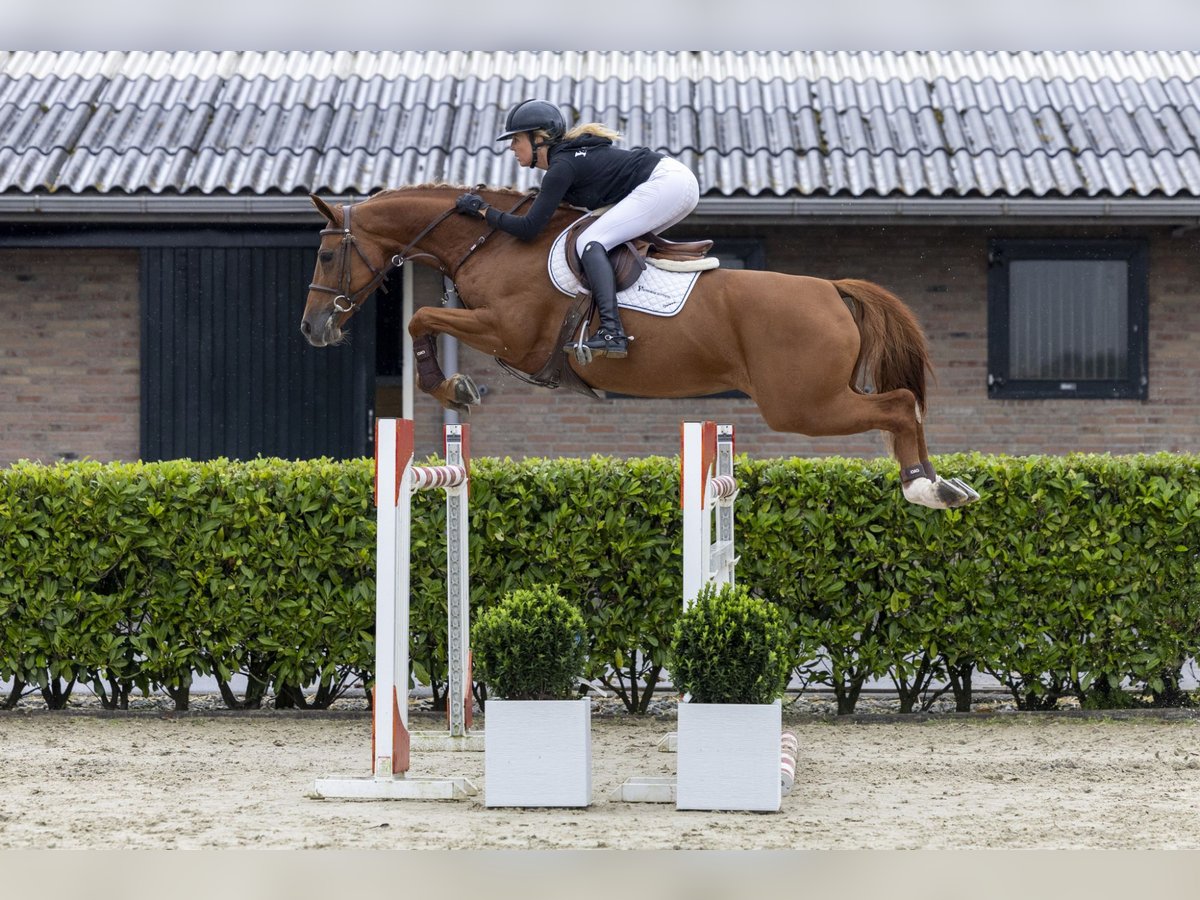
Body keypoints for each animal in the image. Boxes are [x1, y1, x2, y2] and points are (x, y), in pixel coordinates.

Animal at [297, 187, 974, 511]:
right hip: (815, 399)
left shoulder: (511, 334)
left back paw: (925, 487)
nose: (312, 330)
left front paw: (450, 386)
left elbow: (421, 316)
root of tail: (832, 289)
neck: (491, 243)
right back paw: (941, 485)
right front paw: (453, 385)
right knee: (903, 406)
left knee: (899, 405)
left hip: (803, 406)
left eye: (326, 254)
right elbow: (427, 316)